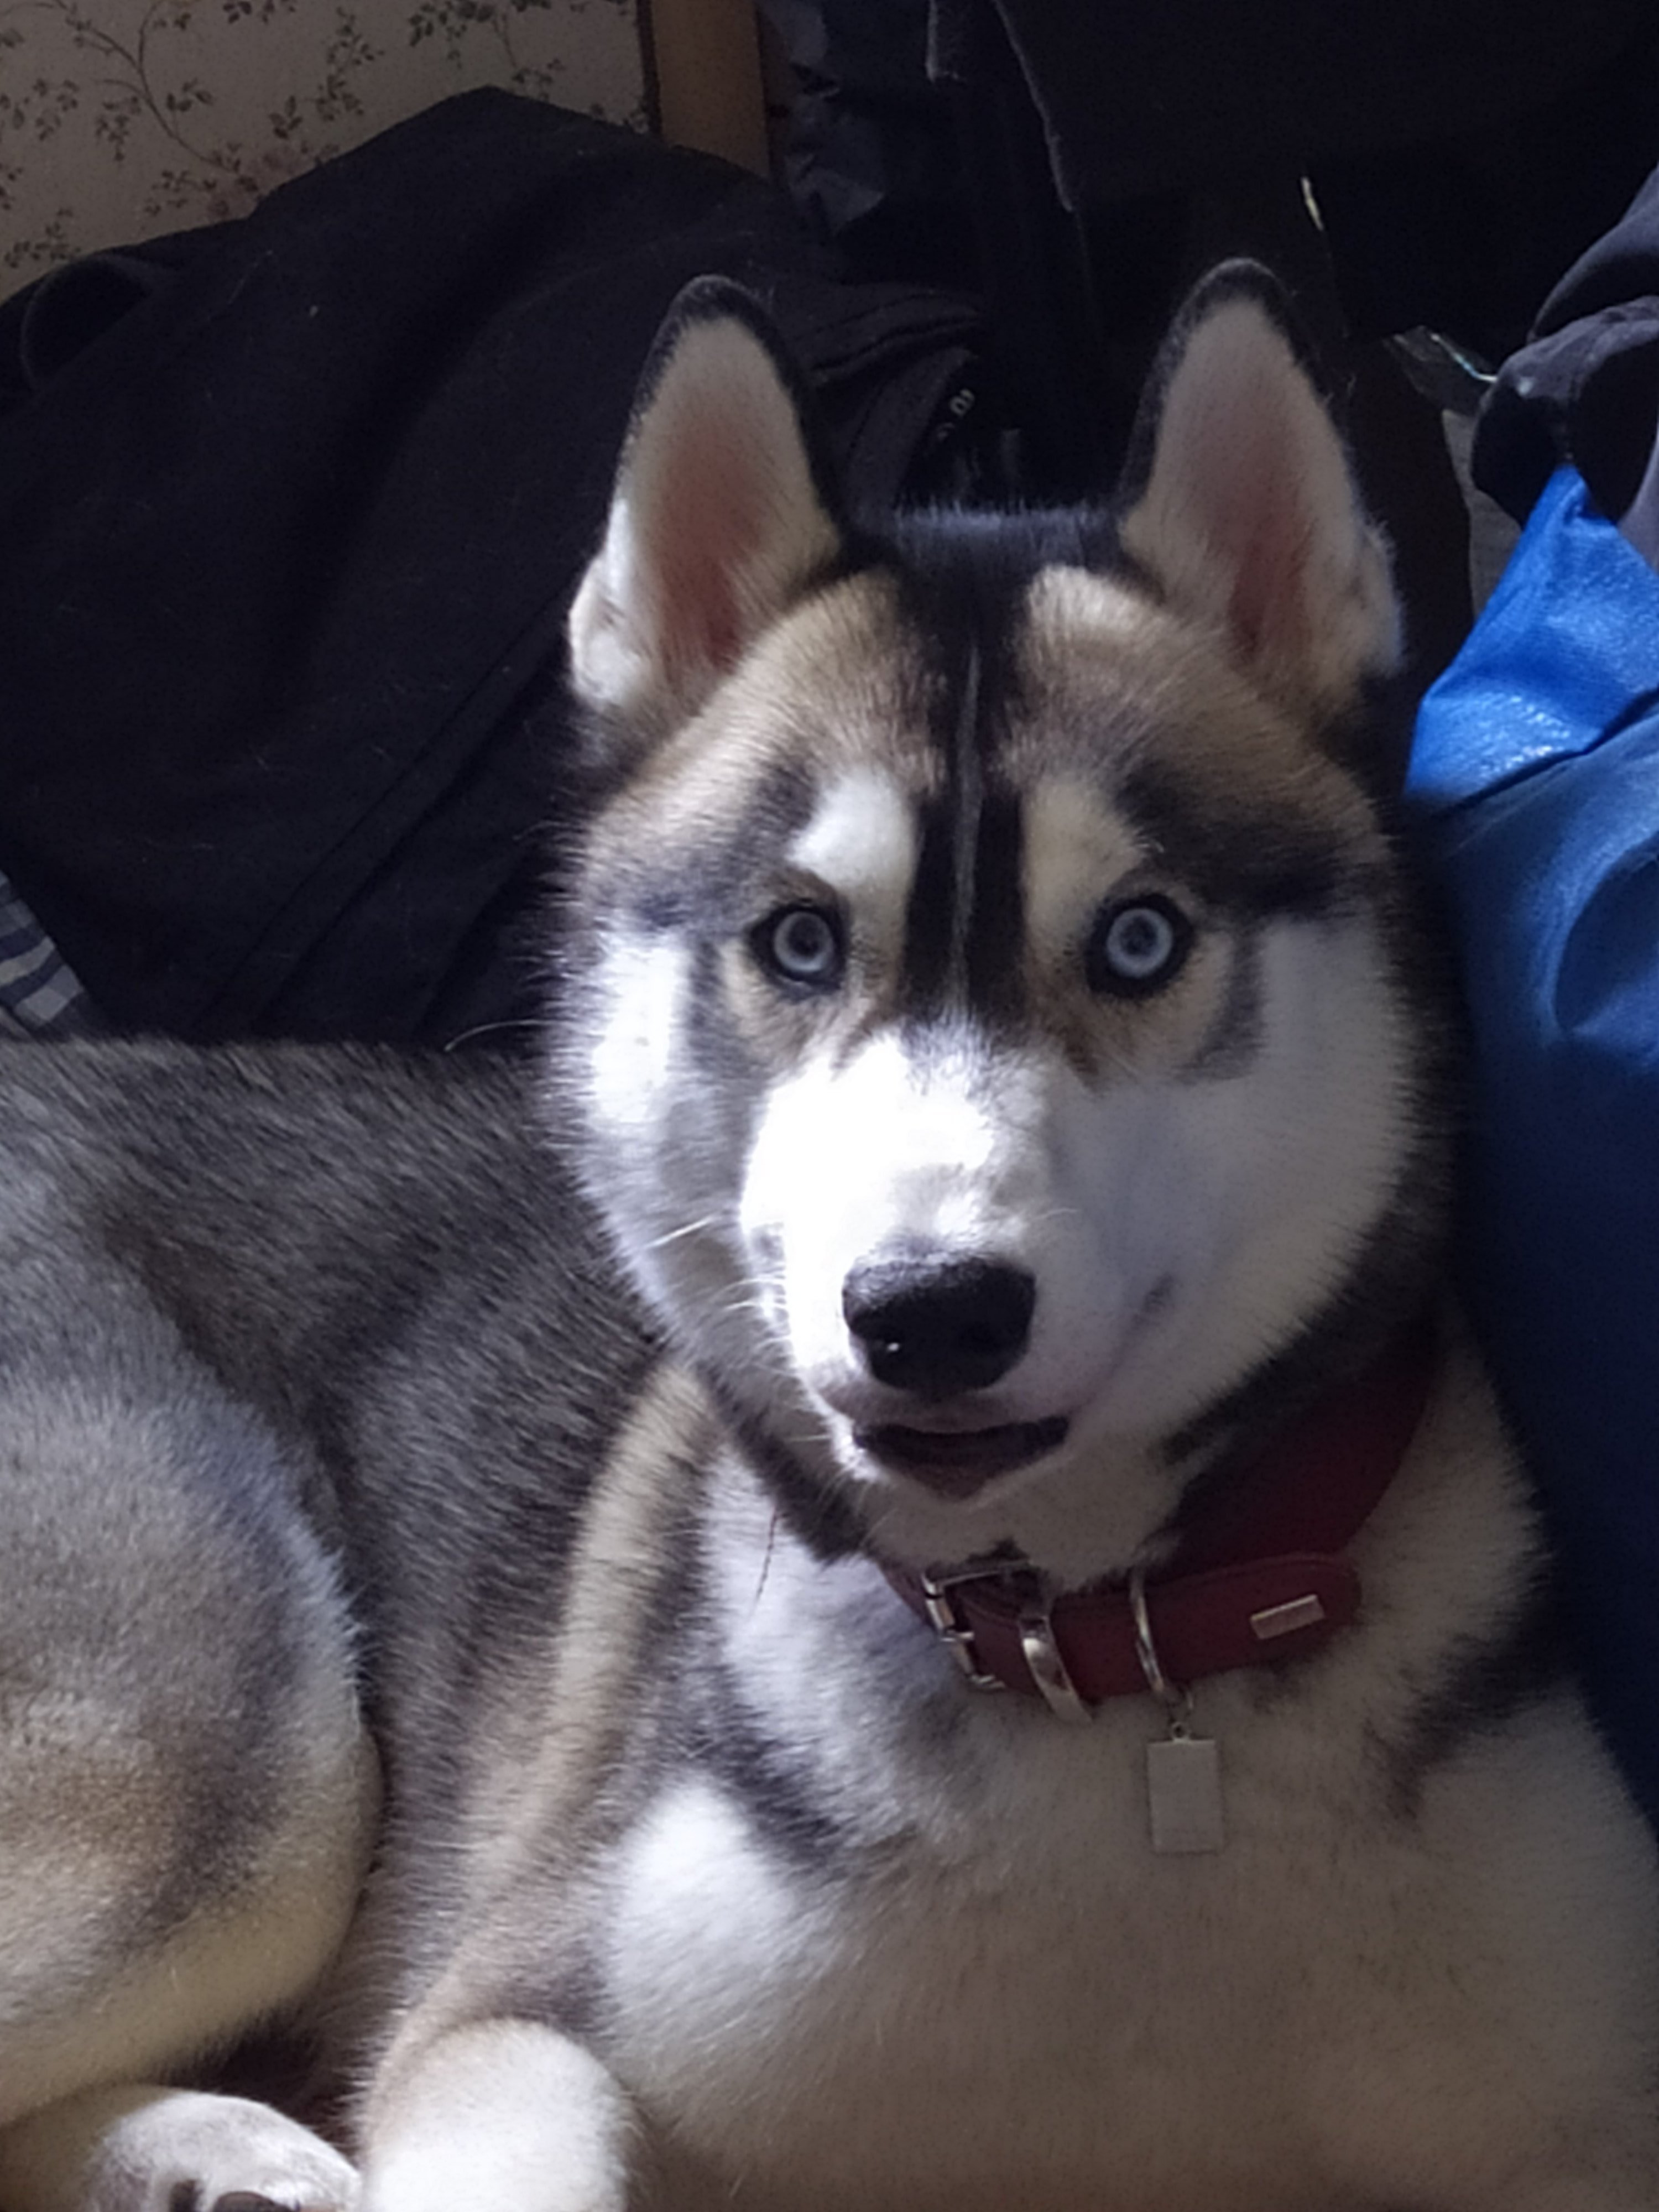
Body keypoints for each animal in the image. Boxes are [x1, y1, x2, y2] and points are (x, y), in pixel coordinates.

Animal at [2, 263, 1658, 2212]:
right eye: (798, 941)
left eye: (1141, 938)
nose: (928, 1310)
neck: (1097, 1672)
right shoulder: (517, 2012)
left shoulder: (1581, 2107)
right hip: (241, 1765)